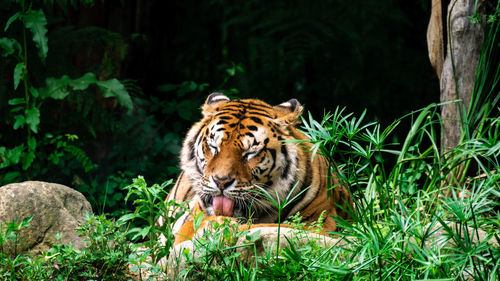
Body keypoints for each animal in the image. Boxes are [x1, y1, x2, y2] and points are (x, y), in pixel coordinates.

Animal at [159, 92, 352, 245]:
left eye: (250, 152)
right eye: (214, 146)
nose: (221, 182)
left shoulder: (322, 224)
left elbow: (269, 226)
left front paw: (220, 227)